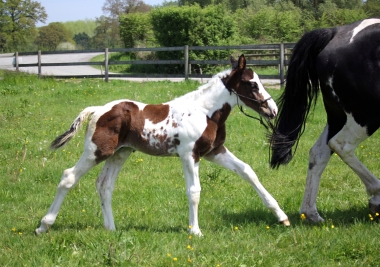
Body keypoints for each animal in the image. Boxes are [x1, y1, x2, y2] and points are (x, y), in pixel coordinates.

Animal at [36, 55, 290, 237]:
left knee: (104, 185)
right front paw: (195, 231)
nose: (273, 110)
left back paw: (111, 229)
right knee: (68, 177)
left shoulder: (214, 152)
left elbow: (247, 171)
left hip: (120, 153)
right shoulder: (190, 155)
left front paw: (281, 216)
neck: (205, 112)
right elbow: (194, 191)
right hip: (96, 151)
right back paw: (43, 226)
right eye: (252, 84)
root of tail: (98, 109)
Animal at [268, 18, 380, 223]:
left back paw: (311, 213)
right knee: (340, 145)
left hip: (339, 118)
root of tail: (336, 33)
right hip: (366, 115)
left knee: (318, 153)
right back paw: (377, 194)